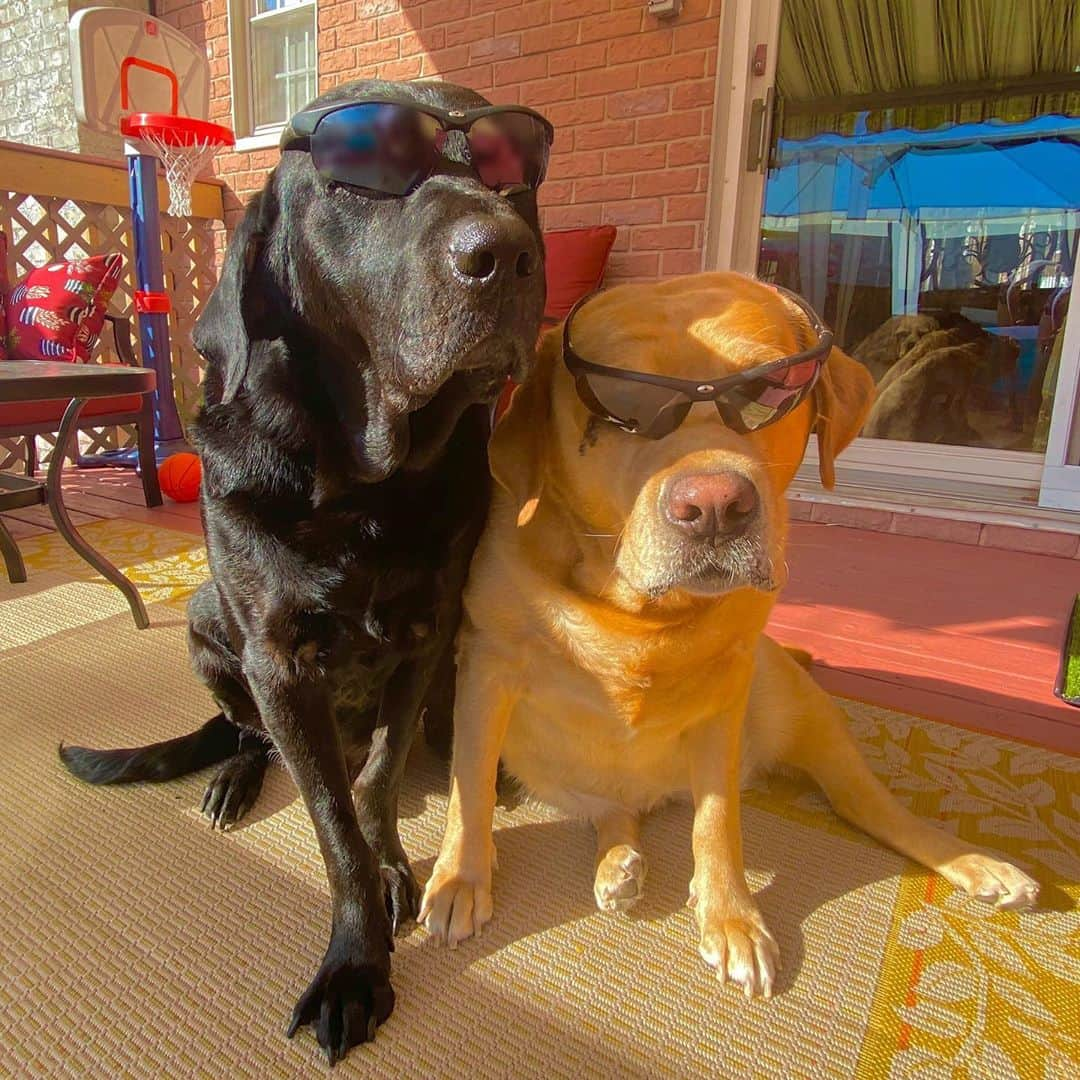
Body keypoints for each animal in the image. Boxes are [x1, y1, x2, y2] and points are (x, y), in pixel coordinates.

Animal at [59, 79, 544, 1067]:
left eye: (512, 164)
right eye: (370, 157)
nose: (507, 253)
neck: (366, 489)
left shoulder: (426, 634)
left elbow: (379, 778)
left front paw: (395, 860)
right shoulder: (278, 663)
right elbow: (332, 824)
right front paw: (356, 961)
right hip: (209, 625)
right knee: (240, 729)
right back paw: (233, 779)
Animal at [419, 272, 1036, 993]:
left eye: (769, 390)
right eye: (624, 403)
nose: (714, 505)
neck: (635, 613)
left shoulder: (725, 693)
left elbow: (717, 821)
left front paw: (731, 914)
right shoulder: (486, 669)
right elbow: (471, 788)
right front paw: (462, 878)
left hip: (805, 712)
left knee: (868, 806)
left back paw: (975, 861)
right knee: (614, 806)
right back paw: (618, 861)